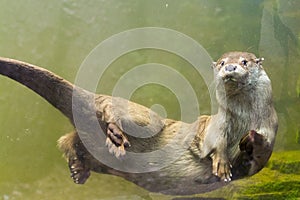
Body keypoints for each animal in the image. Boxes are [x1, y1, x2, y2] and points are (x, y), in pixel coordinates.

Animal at [0, 52, 278, 195]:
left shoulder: (270, 126)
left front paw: (252, 140)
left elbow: (258, 158)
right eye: (221, 62)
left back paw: (79, 170)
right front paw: (221, 162)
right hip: (144, 116)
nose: (229, 67)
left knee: (71, 140)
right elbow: (209, 141)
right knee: (108, 111)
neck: (241, 120)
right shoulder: (210, 126)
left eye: (244, 61)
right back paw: (115, 137)